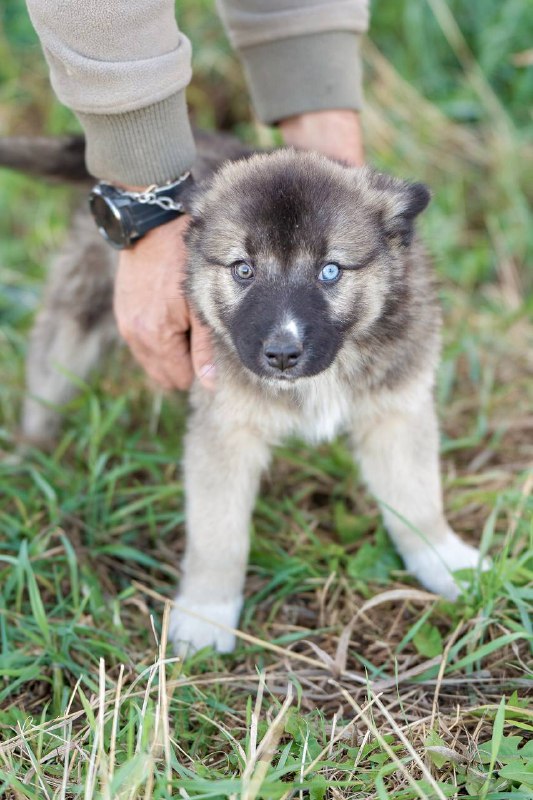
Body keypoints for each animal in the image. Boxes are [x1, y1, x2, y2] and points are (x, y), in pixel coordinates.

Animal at [2, 134, 488, 652]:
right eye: (243, 270)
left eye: (330, 272)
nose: (282, 353)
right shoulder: (224, 432)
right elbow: (219, 535)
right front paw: (207, 614)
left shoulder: (396, 411)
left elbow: (417, 500)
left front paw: (446, 560)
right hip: (77, 323)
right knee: (46, 385)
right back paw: (31, 457)